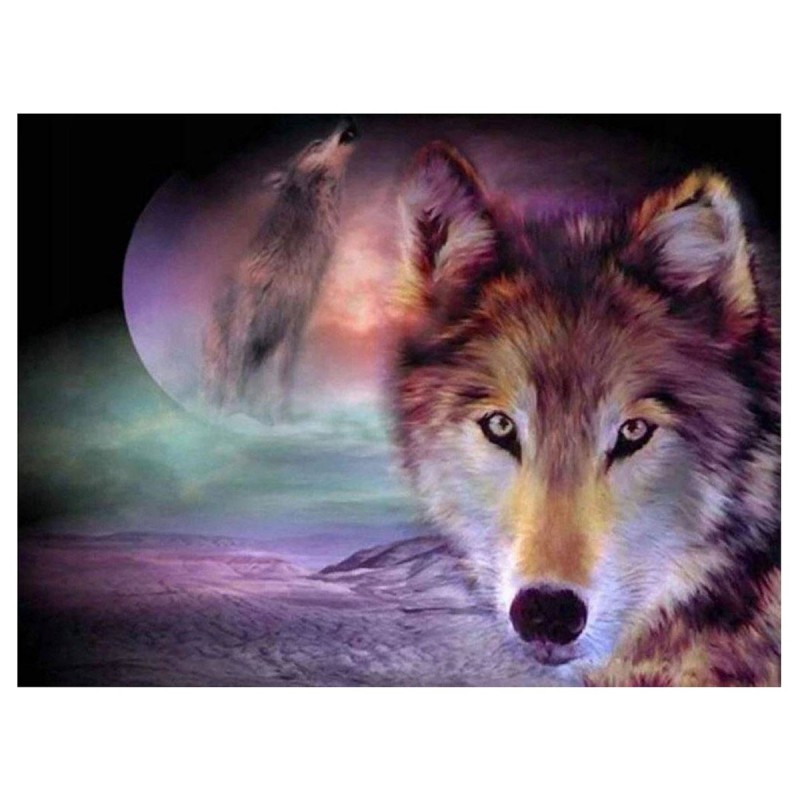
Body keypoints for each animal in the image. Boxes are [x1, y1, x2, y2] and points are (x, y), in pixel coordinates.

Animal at [203, 117, 359, 417]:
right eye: (315, 144)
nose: (347, 120)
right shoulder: (247, 315)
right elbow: (235, 372)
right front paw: (232, 413)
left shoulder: (295, 322)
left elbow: (283, 379)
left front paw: (279, 417)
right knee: (215, 380)